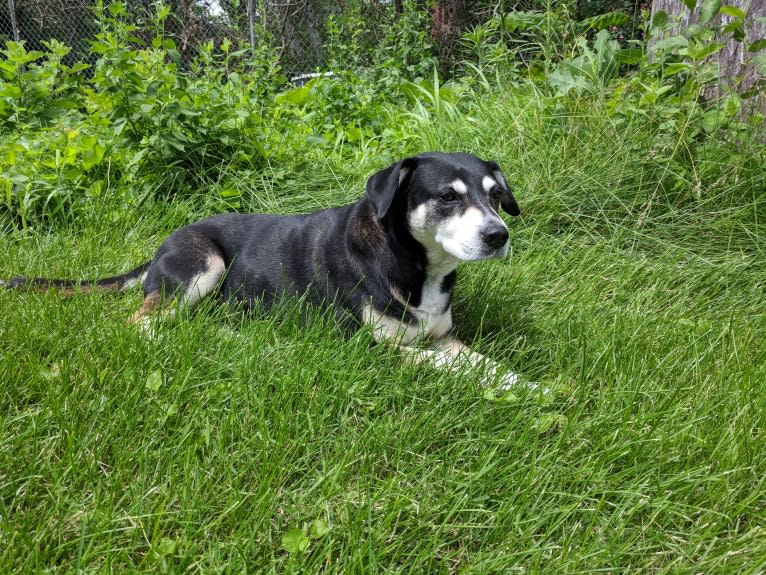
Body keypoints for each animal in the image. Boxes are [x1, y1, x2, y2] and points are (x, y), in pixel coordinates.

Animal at [3, 152, 528, 388]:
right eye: (447, 197)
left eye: (495, 195)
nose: (499, 235)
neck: (414, 265)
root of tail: (159, 248)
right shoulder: (369, 347)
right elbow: (448, 367)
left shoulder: (444, 337)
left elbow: (488, 366)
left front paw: (534, 389)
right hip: (205, 264)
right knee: (142, 321)